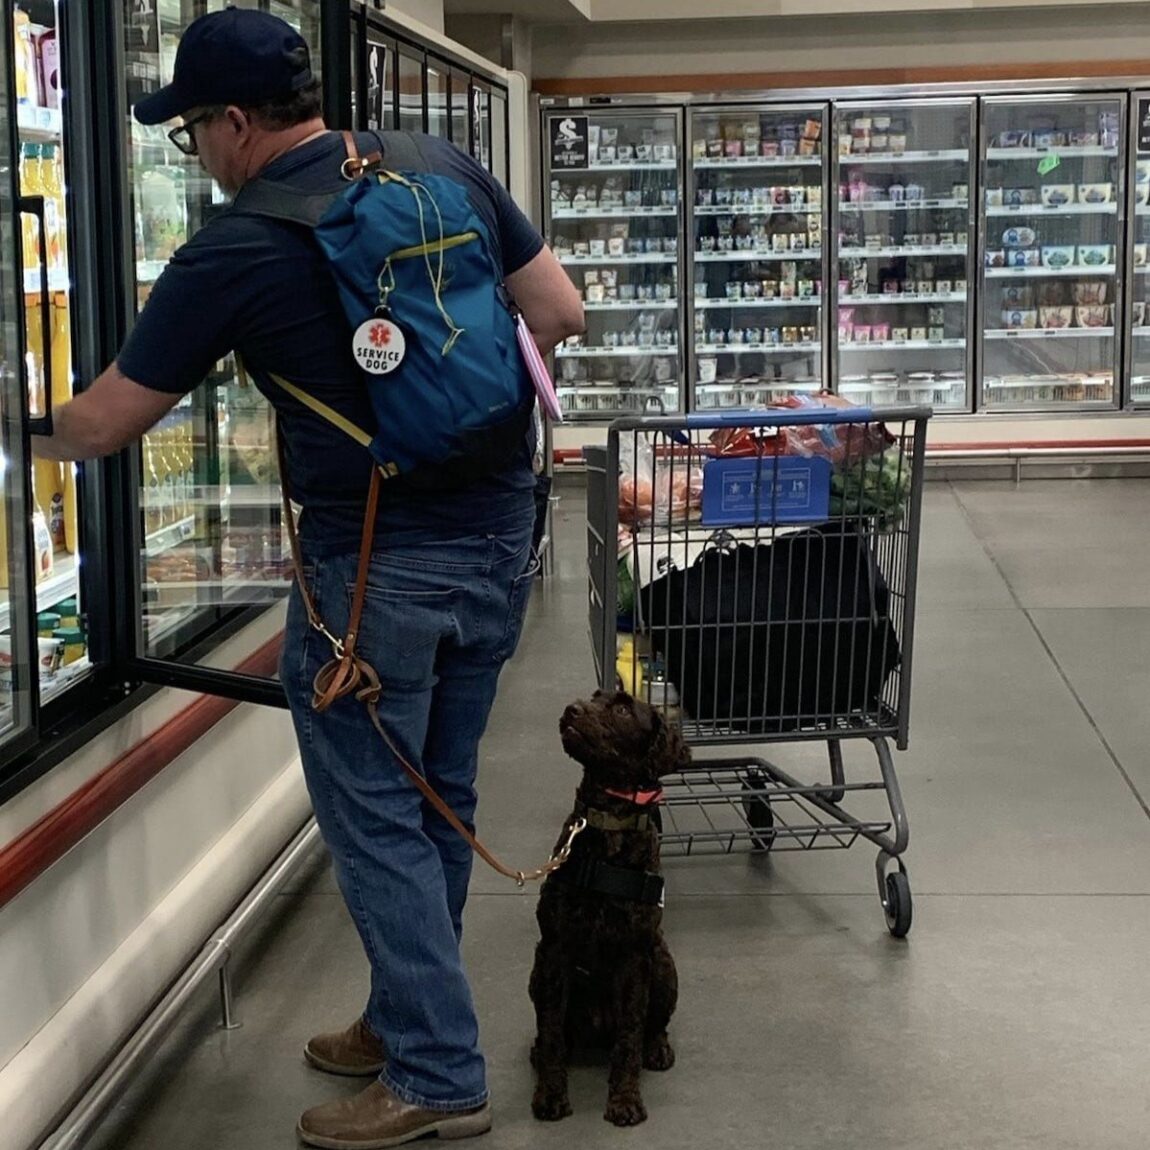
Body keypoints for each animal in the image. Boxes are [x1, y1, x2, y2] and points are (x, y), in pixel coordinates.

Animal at [531, 690, 690, 1122]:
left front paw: (625, 1099)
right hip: (536, 972)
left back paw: (658, 1048)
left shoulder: (635, 955)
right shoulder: (555, 950)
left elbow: (630, 1037)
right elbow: (551, 1032)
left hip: (664, 963)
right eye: (591, 698)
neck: (608, 825)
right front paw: (550, 1094)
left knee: (653, 1026)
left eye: (621, 709)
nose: (571, 710)